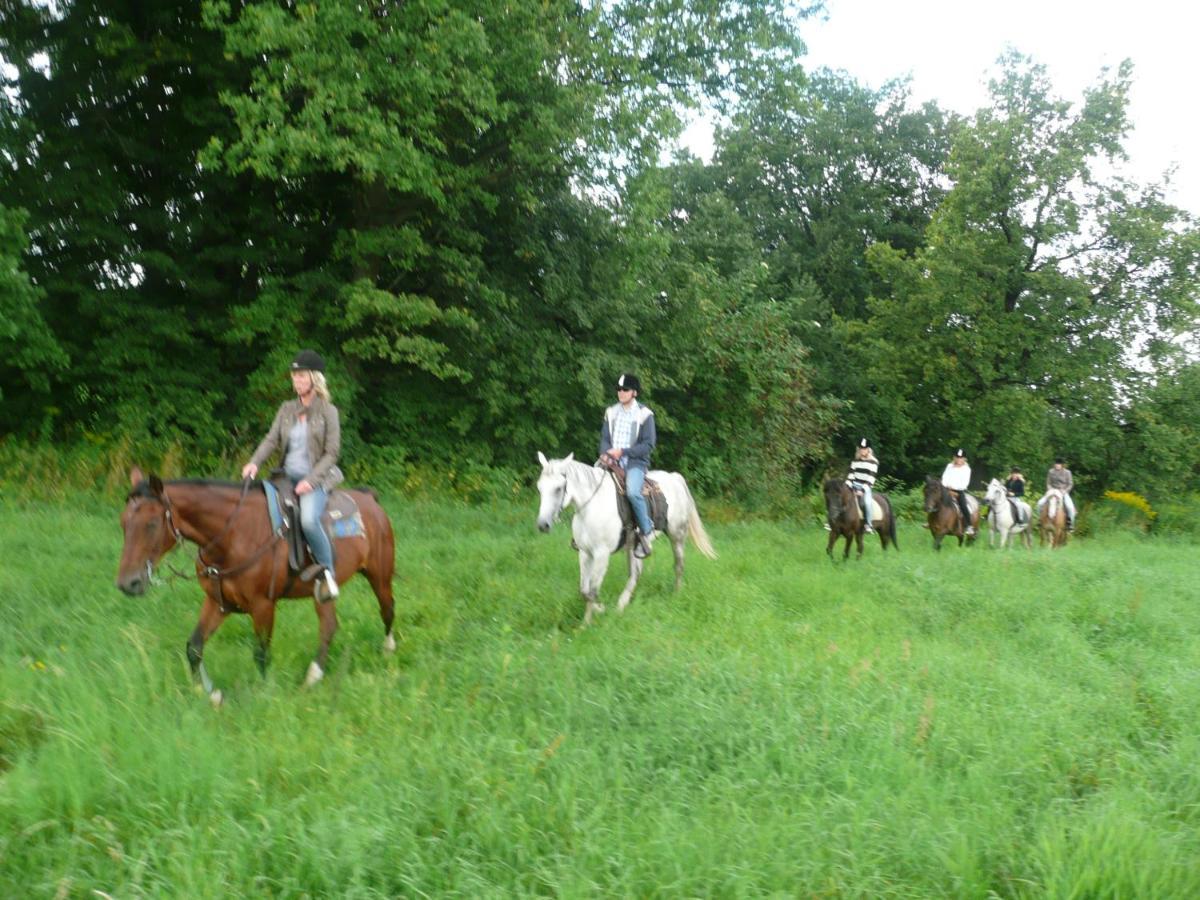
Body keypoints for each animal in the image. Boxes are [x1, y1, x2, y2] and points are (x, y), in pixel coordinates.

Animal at [114, 468, 393, 710]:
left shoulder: (263, 605)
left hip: (380, 576)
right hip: (323, 591)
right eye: (123, 523)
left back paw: (388, 653)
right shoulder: (217, 602)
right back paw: (312, 678)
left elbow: (261, 654)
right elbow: (194, 647)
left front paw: (264, 692)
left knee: (387, 610)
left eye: (151, 524)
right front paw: (211, 695)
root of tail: (370, 499)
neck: (234, 536)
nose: (128, 583)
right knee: (328, 626)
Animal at [537, 451, 720, 628]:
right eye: (540, 488)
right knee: (635, 574)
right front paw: (589, 619)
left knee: (678, 566)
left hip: (677, 536)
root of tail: (675, 478)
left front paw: (595, 615)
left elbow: (593, 591)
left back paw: (676, 594)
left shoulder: (601, 554)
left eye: (558, 488)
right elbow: (584, 590)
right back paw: (621, 605)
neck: (591, 507)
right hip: (634, 546)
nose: (542, 525)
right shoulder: (584, 553)